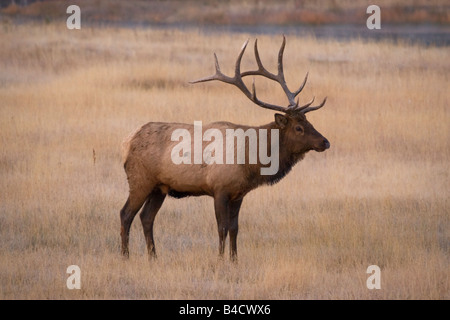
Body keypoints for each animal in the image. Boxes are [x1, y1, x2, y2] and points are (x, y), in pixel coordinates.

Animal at [119, 36, 330, 262]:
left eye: (309, 121)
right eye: (299, 127)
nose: (325, 142)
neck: (251, 162)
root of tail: (127, 142)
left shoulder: (239, 194)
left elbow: (235, 229)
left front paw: (234, 260)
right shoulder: (219, 188)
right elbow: (222, 228)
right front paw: (220, 260)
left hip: (160, 187)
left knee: (146, 217)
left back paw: (153, 256)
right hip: (140, 180)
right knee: (126, 214)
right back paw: (125, 255)